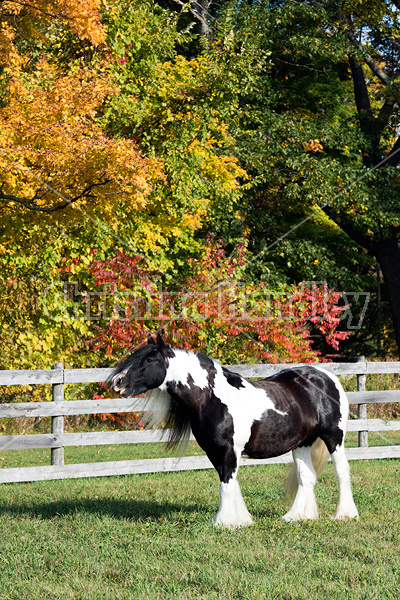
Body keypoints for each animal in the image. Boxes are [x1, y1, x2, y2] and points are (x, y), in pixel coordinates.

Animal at [109, 336, 360, 528]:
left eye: (150, 358)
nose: (117, 382)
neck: (212, 397)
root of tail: (328, 377)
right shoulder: (215, 451)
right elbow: (229, 482)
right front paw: (241, 520)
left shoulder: (229, 450)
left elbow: (226, 486)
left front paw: (225, 522)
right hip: (302, 443)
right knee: (306, 476)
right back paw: (296, 516)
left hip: (334, 437)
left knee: (342, 471)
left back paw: (345, 514)